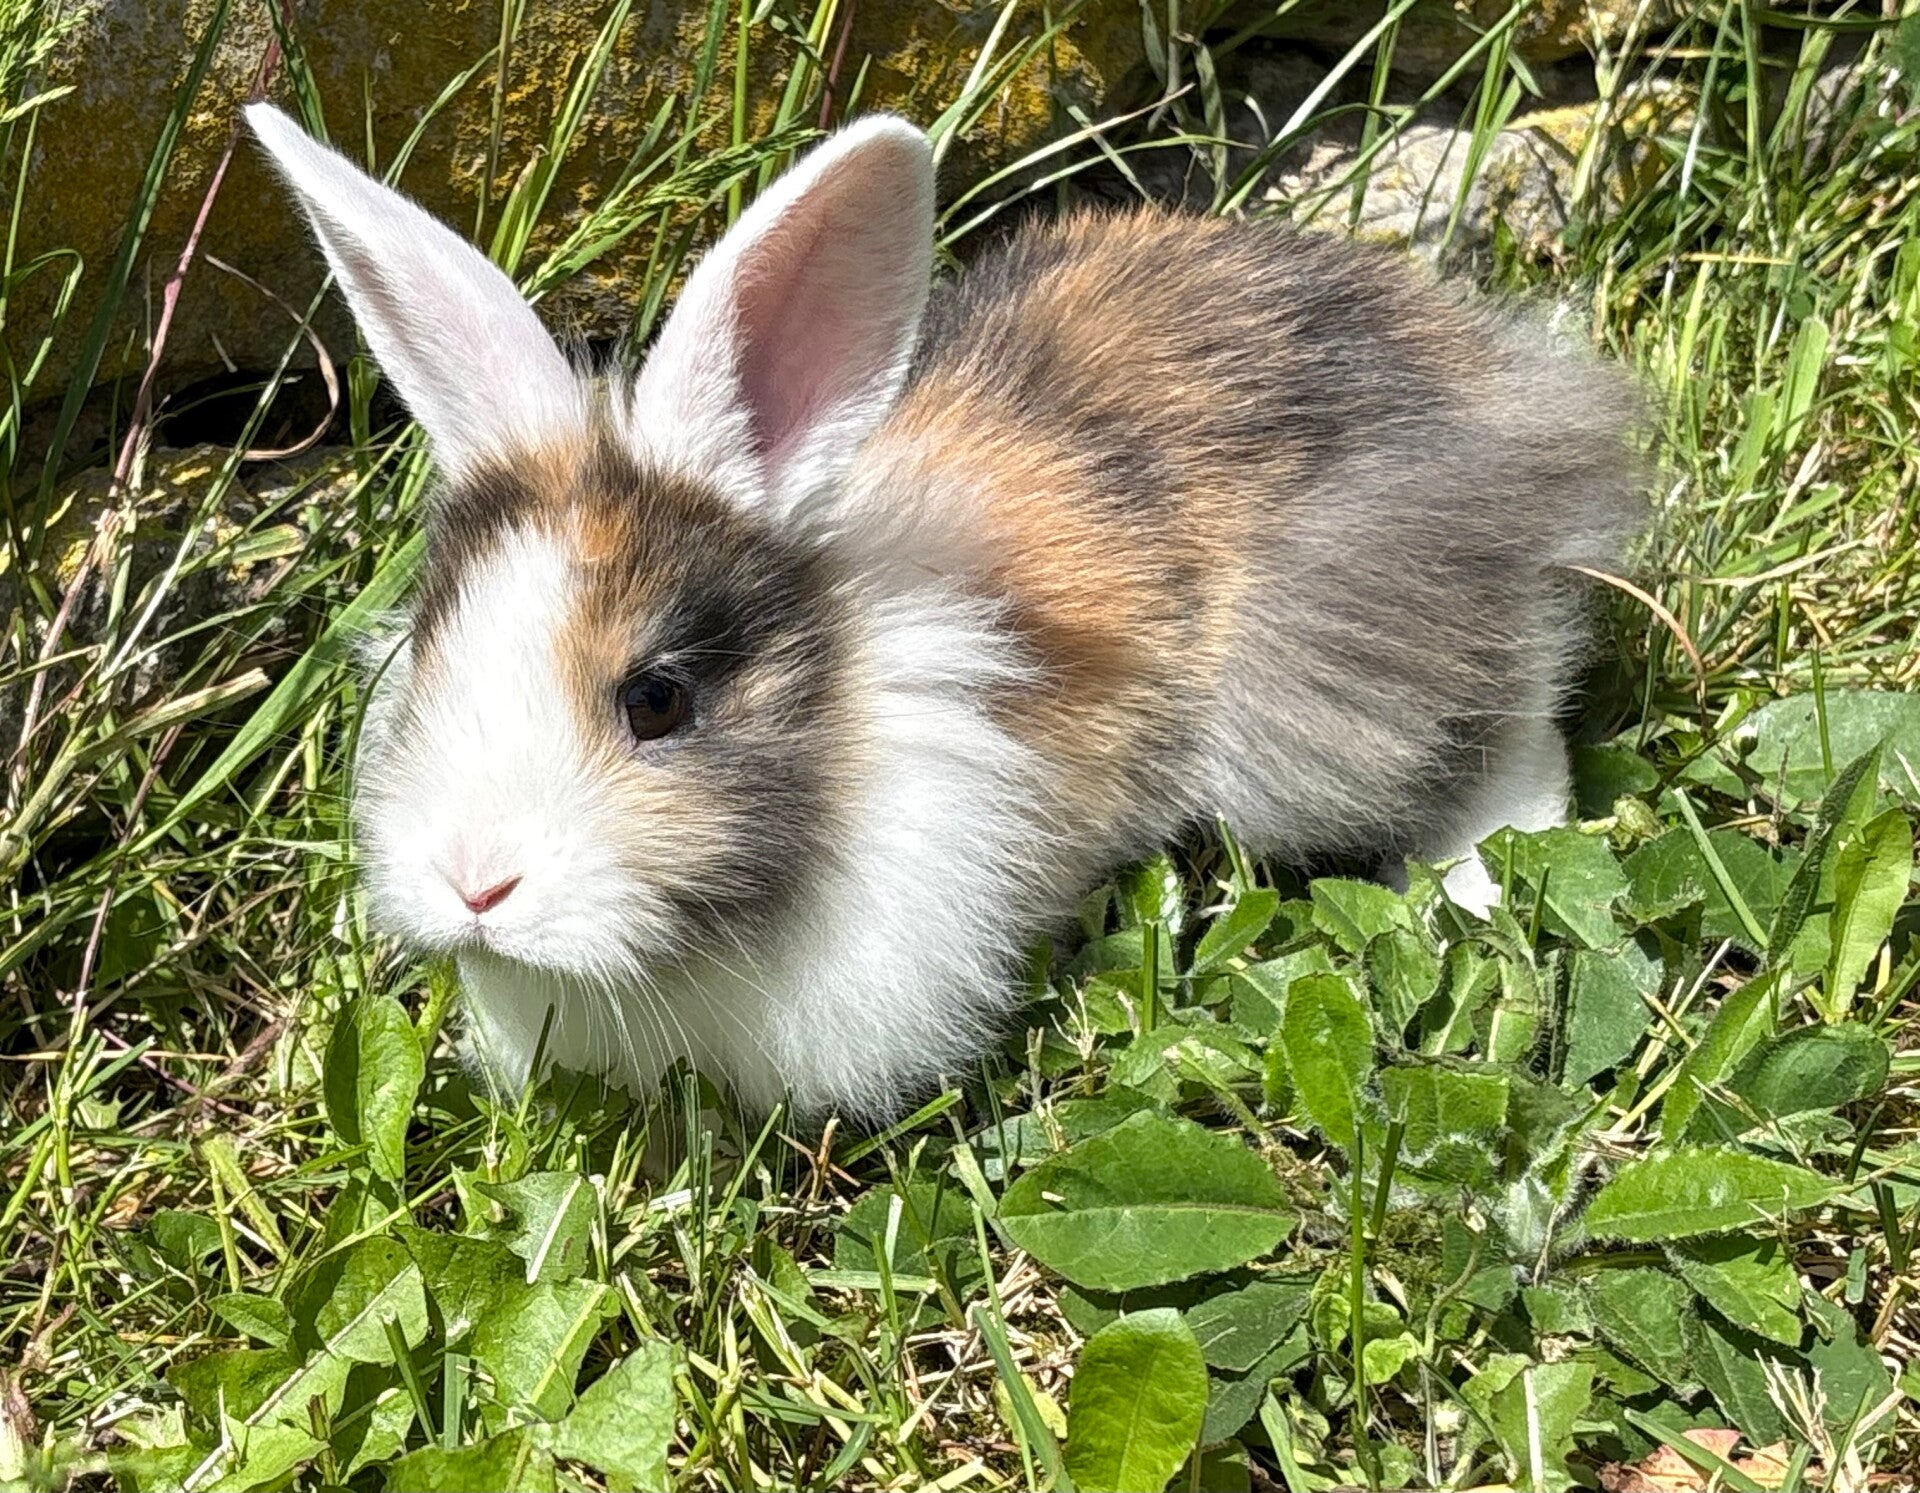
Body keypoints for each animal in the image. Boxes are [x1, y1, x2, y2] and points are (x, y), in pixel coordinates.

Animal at [247, 103, 1642, 1122]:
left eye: (657, 700)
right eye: (433, 657)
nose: (473, 883)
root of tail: (1487, 370)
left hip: (1341, 653)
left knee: (1511, 706)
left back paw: (1484, 871)